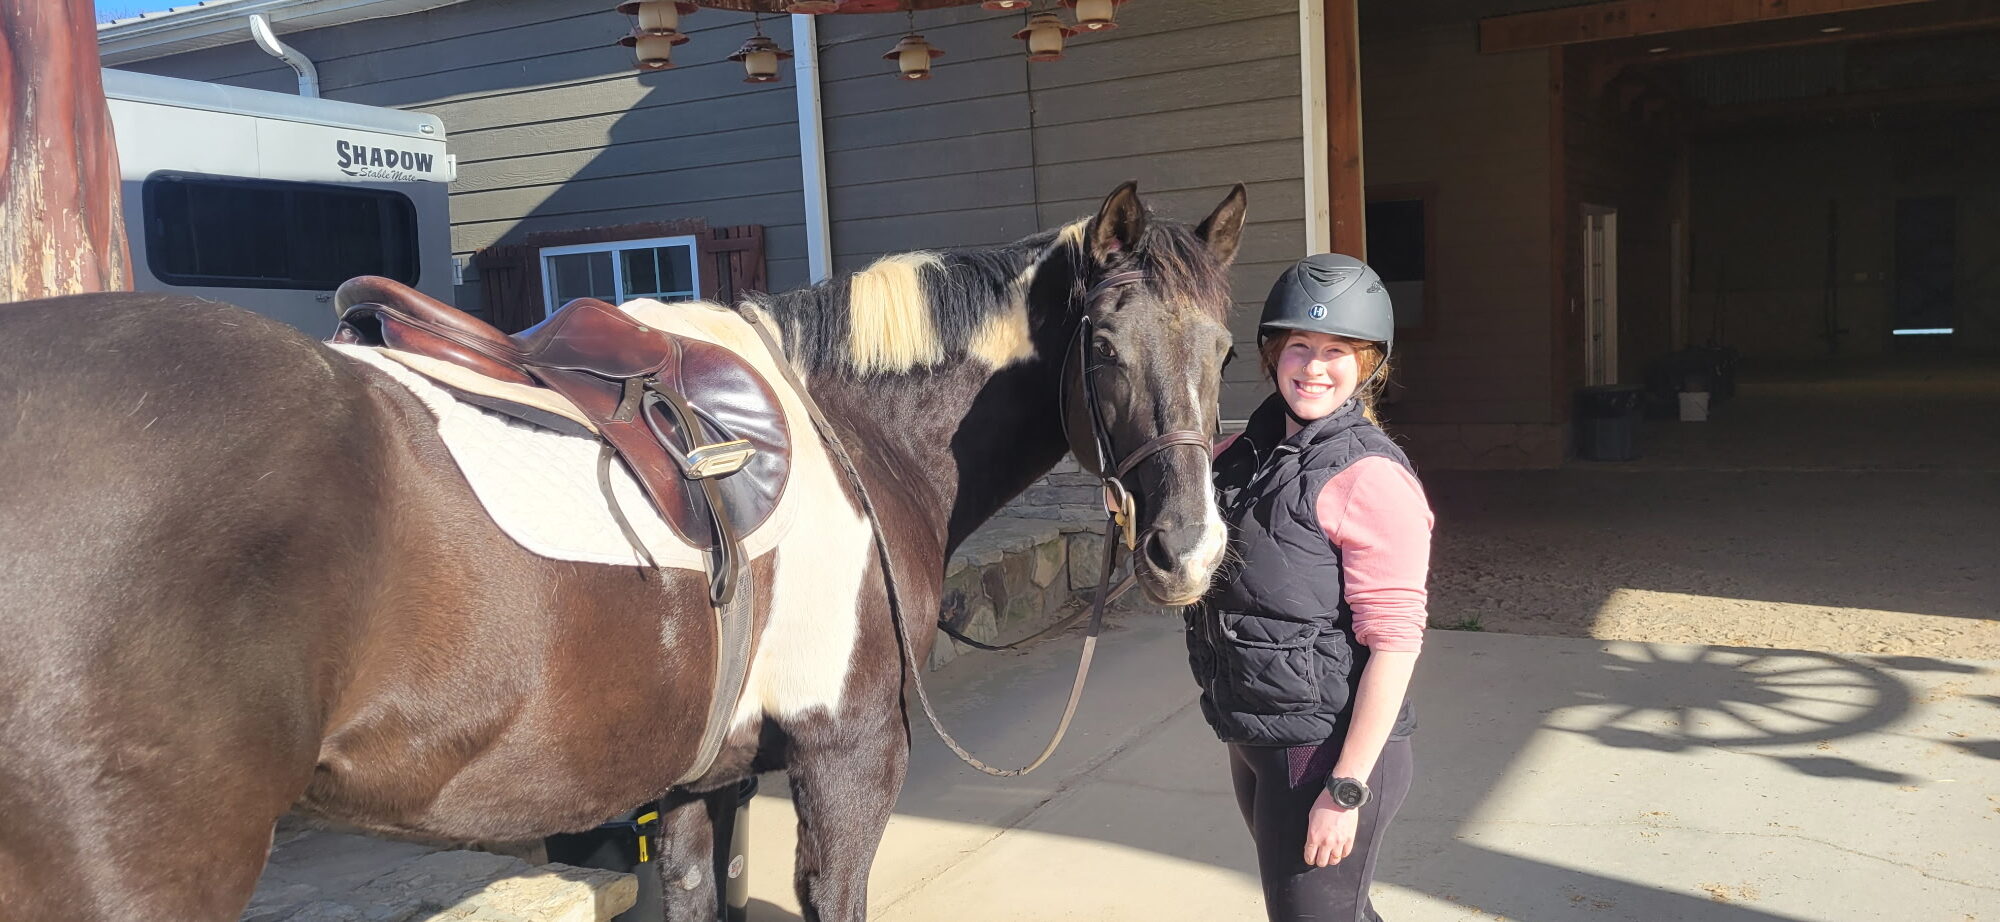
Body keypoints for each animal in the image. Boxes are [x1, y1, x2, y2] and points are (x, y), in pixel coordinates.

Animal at [0, 180, 1246, 921]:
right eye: (1100, 343)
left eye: (1226, 348)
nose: (1187, 549)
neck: (851, 432)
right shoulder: (847, 757)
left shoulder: (701, 779)